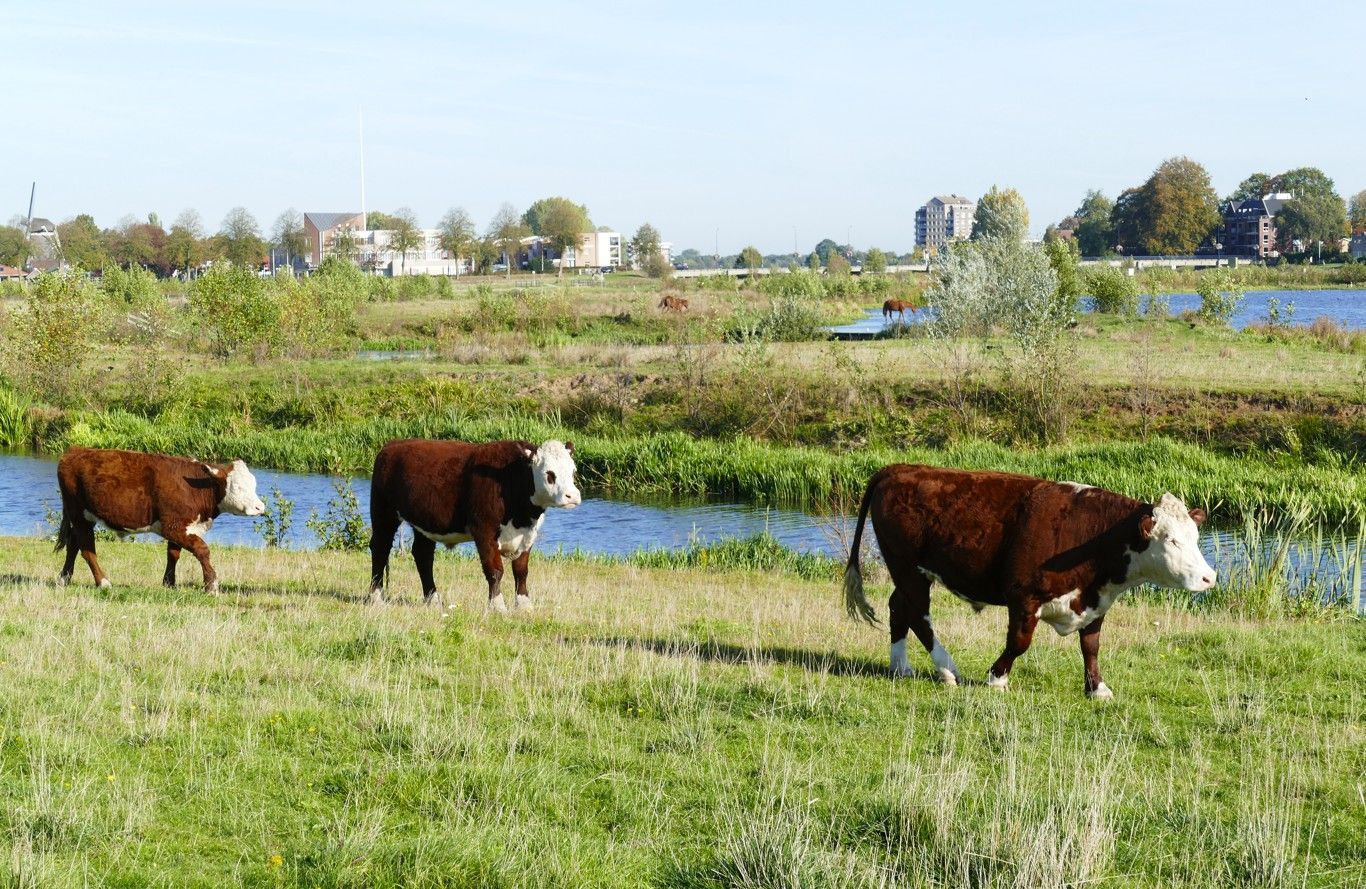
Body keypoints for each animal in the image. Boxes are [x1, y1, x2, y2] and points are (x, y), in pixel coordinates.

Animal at [56, 447, 266, 592]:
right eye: (238, 487)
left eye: (254, 484)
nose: (260, 507)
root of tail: (75, 451)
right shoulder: (172, 526)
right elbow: (202, 550)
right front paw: (211, 585)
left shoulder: (182, 526)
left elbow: (173, 554)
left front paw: (169, 584)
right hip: (78, 515)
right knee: (87, 549)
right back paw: (103, 582)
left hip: (84, 517)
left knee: (73, 544)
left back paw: (64, 579)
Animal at [368, 438, 581, 610]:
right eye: (549, 474)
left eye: (573, 471)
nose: (572, 496)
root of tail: (393, 444)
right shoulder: (484, 531)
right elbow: (495, 570)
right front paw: (497, 607)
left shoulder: (528, 534)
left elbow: (521, 571)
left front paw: (524, 606)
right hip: (383, 512)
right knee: (380, 548)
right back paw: (376, 597)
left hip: (424, 522)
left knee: (423, 555)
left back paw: (433, 599)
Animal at [842, 465, 1215, 699]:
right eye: (1171, 541)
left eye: (1195, 537)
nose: (1209, 577)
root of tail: (899, 469)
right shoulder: (1024, 596)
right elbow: (1020, 642)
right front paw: (997, 678)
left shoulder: (1096, 601)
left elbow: (1091, 646)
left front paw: (1097, 688)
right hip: (909, 569)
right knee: (919, 615)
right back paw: (947, 670)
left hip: (907, 573)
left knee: (898, 607)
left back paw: (900, 666)